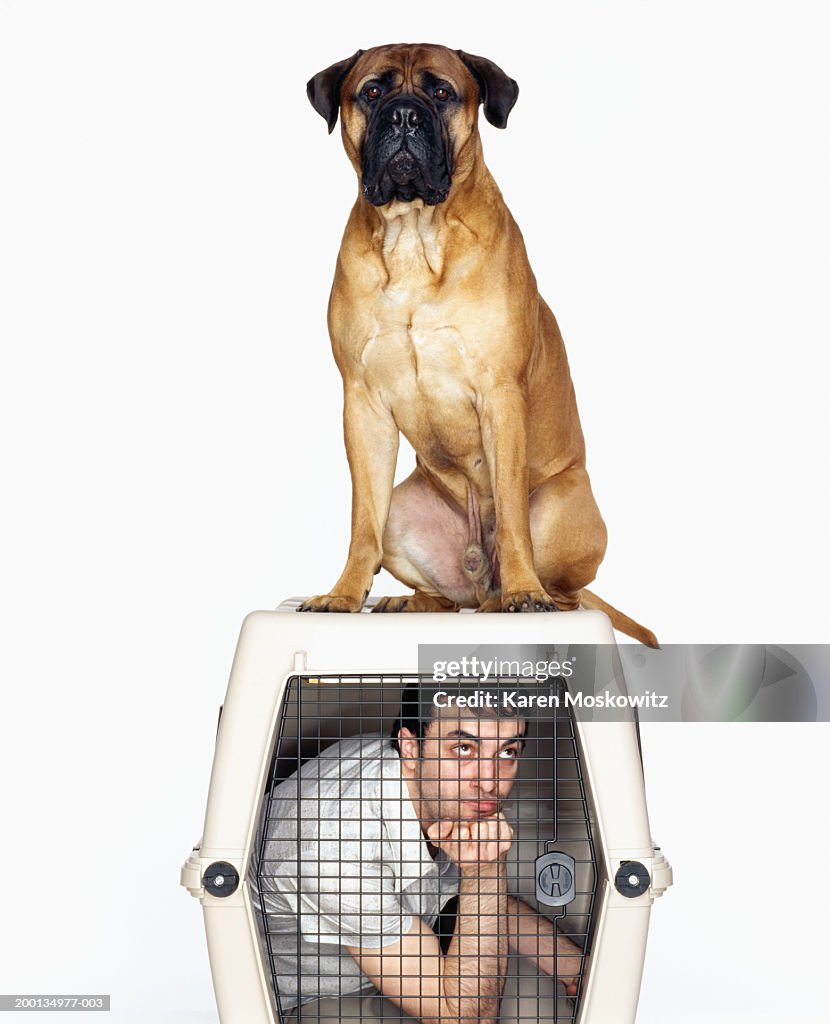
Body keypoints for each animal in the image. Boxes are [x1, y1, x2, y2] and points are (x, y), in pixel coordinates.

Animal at [298, 46, 654, 647]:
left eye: (442, 93)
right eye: (372, 92)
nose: (404, 116)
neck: (414, 233)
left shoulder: (501, 395)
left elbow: (510, 515)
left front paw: (523, 591)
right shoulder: (362, 402)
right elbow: (362, 521)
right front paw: (344, 594)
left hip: (559, 507)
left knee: (560, 592)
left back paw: (517, 598)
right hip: (404, 514)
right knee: (446, 594)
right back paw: (409, 601)